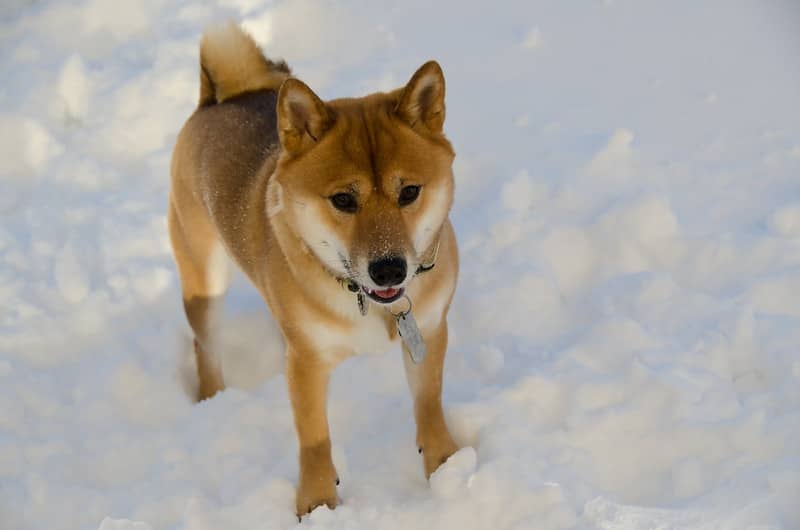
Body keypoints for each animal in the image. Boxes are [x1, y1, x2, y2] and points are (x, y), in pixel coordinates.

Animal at [168, 22, 456, 512]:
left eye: (410, 192)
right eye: (343, 199)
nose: (389, 271)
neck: (364, 300)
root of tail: (216, 100)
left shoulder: (430, 329)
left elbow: (429, 402)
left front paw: (448, 468)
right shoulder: (306, 362)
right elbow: (314, 438)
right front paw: (318, 503)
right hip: (202, 277)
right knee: (205, 346)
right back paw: (213, 399)